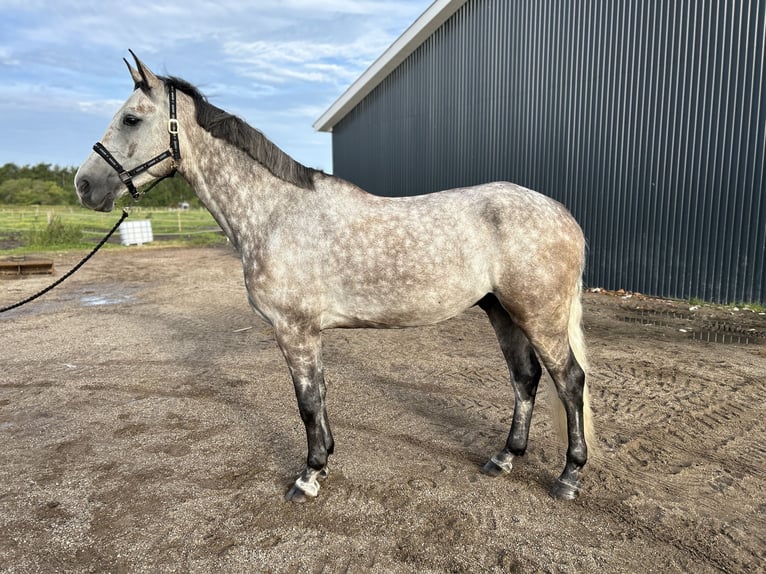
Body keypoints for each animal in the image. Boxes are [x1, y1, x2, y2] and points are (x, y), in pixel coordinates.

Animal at [75, 54, 596, 504]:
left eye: (131, 119)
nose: (84, 184)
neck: (275, 213)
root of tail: (561, 212)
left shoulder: (294, 329)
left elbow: (307, 401)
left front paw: (308, 476)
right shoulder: (306, 332)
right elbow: (319, 396)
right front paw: (323, 461)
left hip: (539, 314)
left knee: (569, 380)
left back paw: (569, 477)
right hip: (502, 311)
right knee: (526, 378)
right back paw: (504, 457)